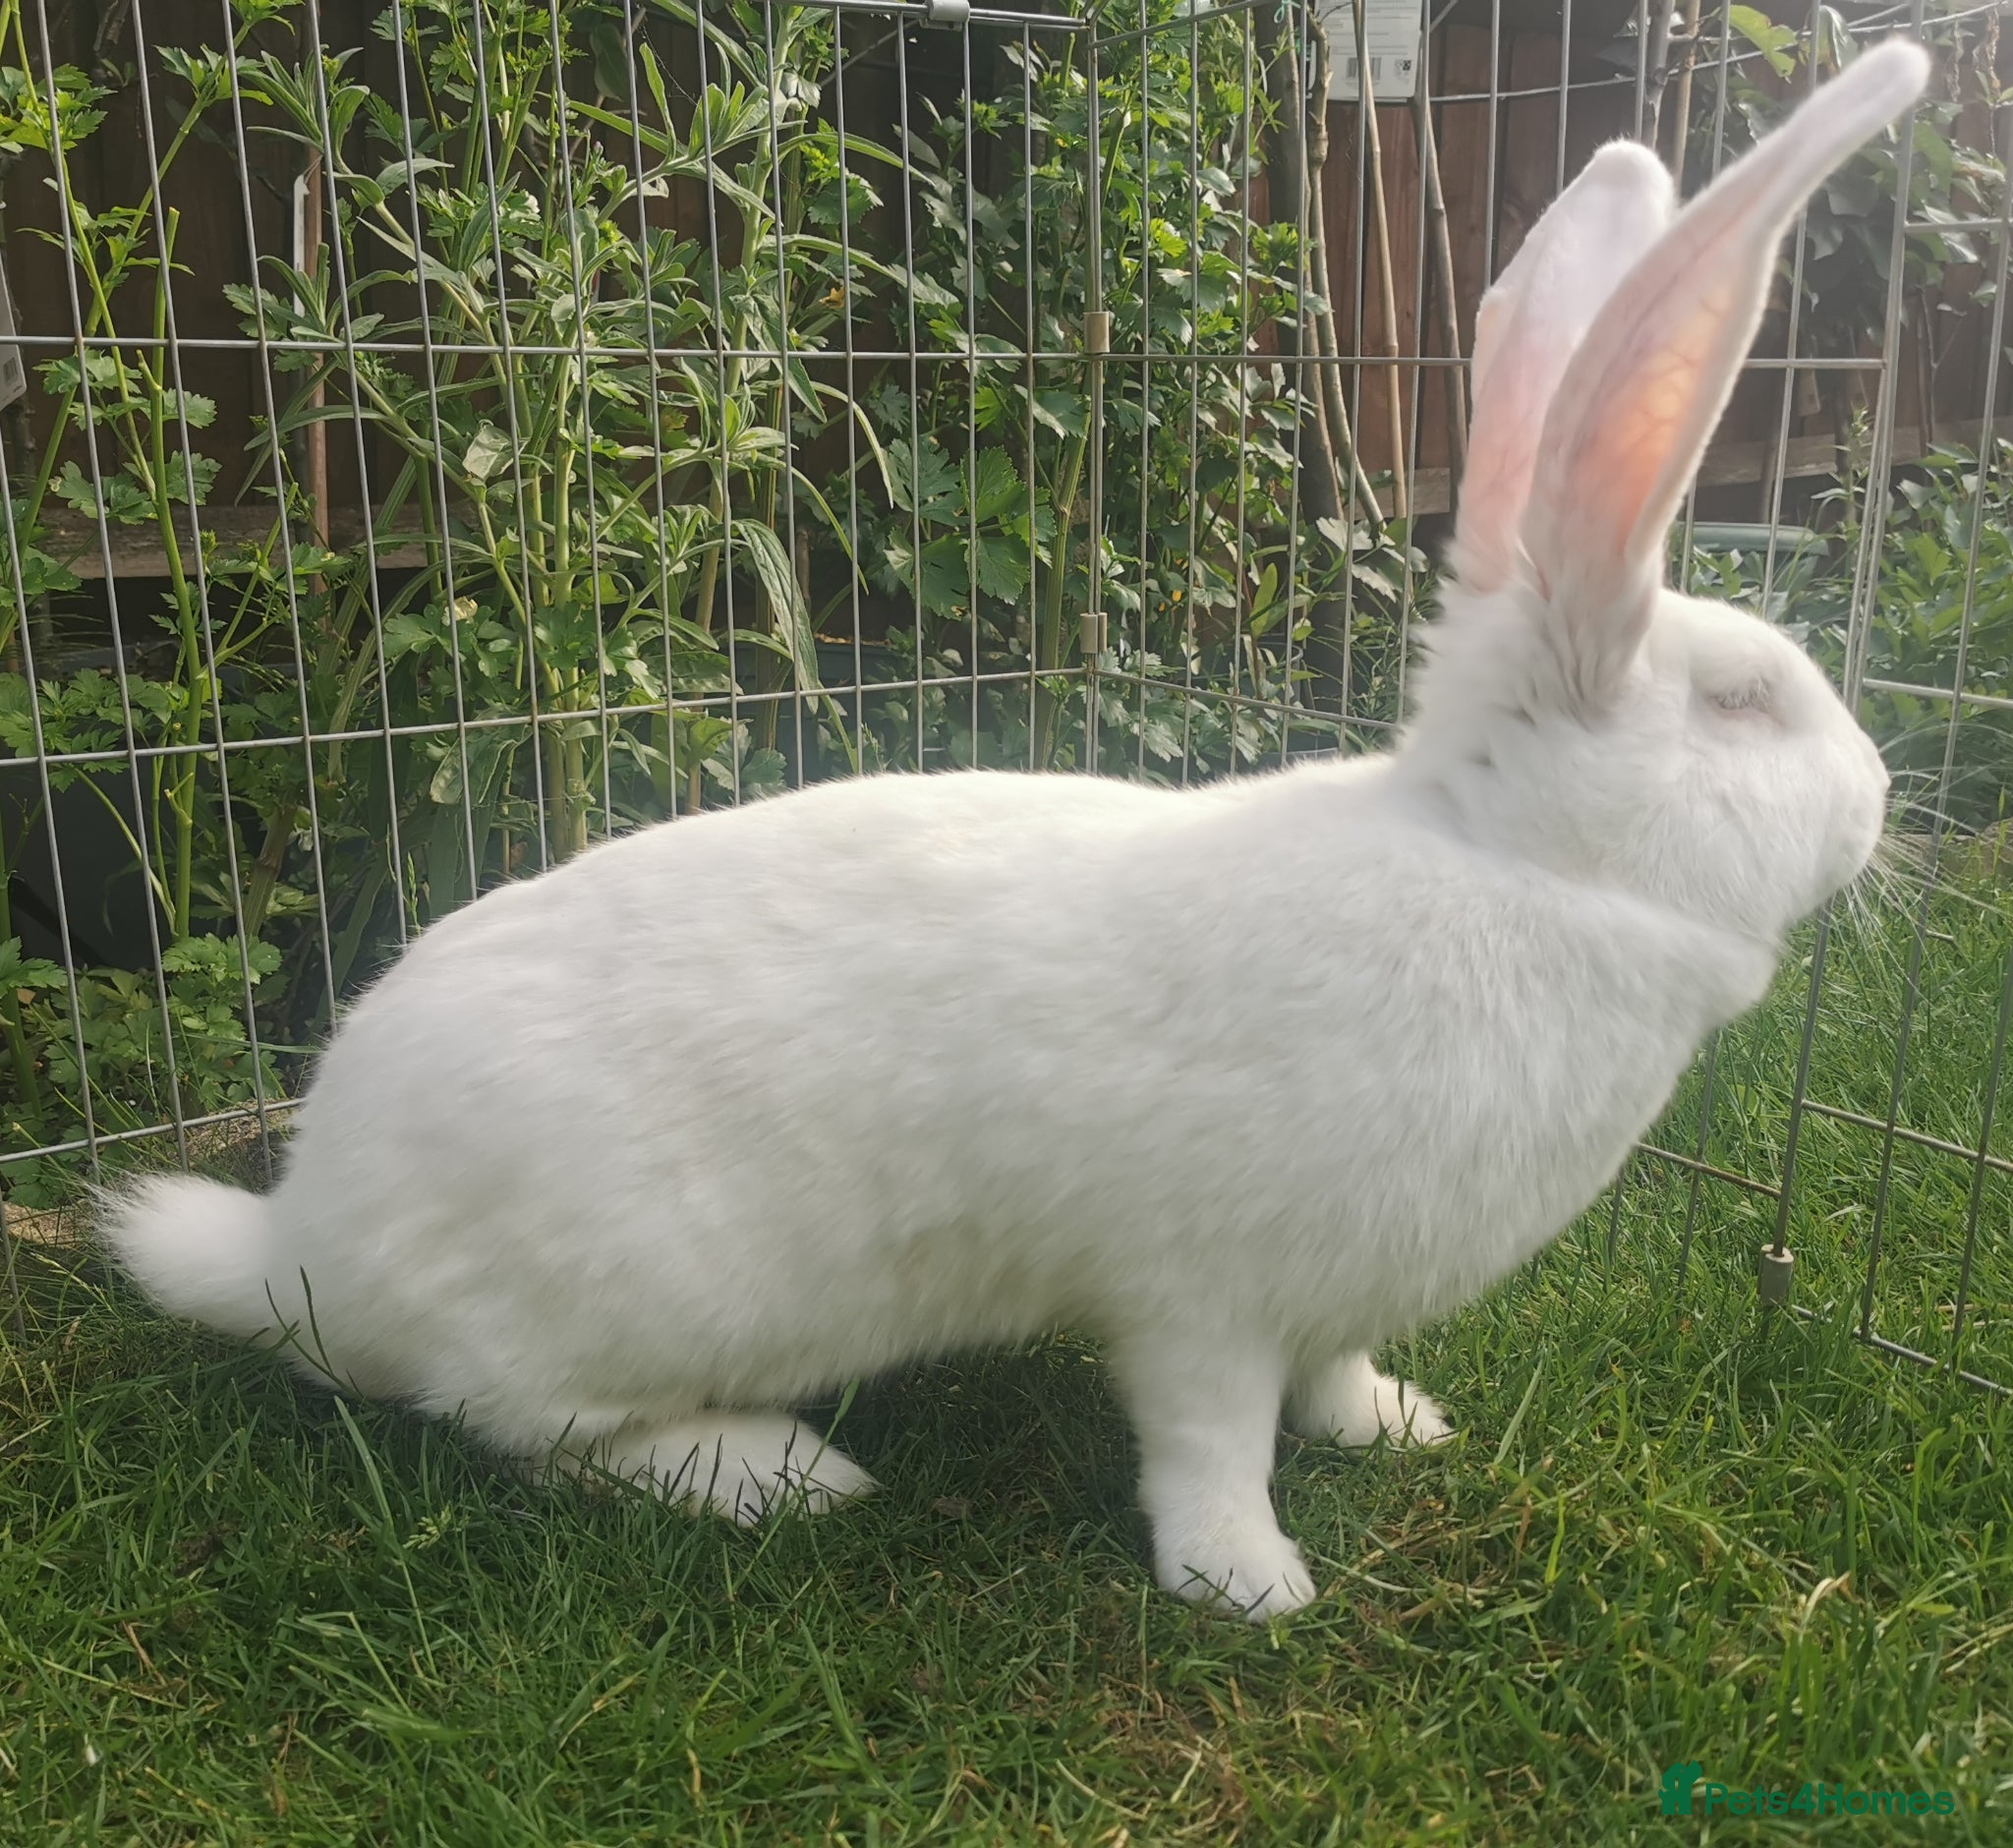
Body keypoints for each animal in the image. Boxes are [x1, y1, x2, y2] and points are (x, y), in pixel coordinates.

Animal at [102, 42, 1924, 1619]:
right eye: (1744, 703)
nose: (1883, 803)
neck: (1513, 870)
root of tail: (301, 1242)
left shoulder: (1327, 1288)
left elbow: (1328, 1378)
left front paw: (1395, 1427)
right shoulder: (1199, 1290)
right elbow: (1208, 1437)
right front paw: (1246, 1586)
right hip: (611, 1309)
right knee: (521, 1428)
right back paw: (773, 1472)